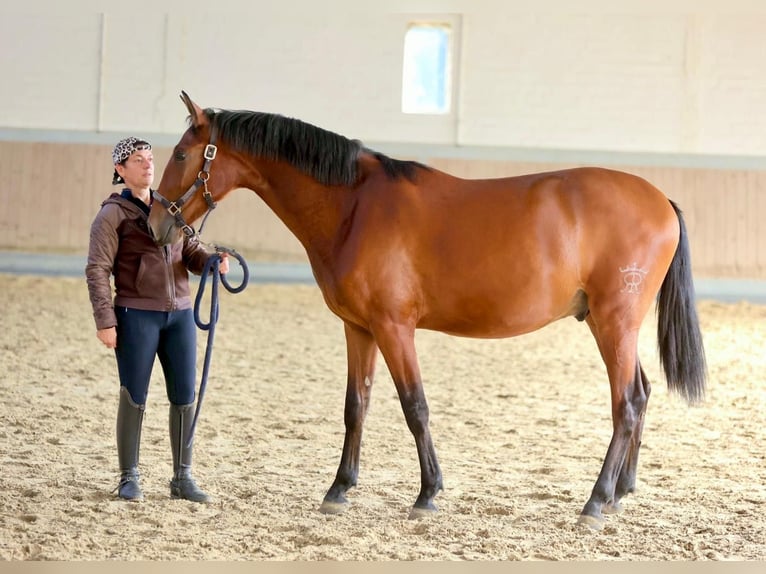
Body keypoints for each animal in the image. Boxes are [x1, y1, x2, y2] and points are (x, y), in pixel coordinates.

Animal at [148, 91, 706, 529]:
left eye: (181, 153)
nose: (157, 223)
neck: (353, 207)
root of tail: (661, 200)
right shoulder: (359, 329)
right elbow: (356, 406)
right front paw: (339, 489)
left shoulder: (395, 328)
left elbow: (414, 407)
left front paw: (427, 494)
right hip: (611, 326)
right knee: (642, 395)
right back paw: (619, 493)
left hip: (615, 323)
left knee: (626, 403)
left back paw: (595, 502)